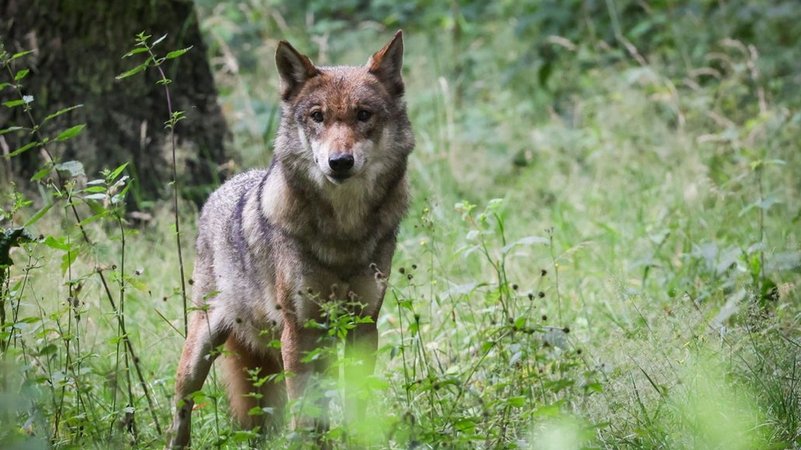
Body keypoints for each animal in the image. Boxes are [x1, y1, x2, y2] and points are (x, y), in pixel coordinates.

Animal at [166, 31, 413, 448]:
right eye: (317, 116)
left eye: (364, 115)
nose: (339, 162)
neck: (343, 233)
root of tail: (221, 190)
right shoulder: (300, 331)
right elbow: (305, 413)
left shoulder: (363, 326)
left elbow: (356, 406)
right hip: (200, 352)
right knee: (181, 413)